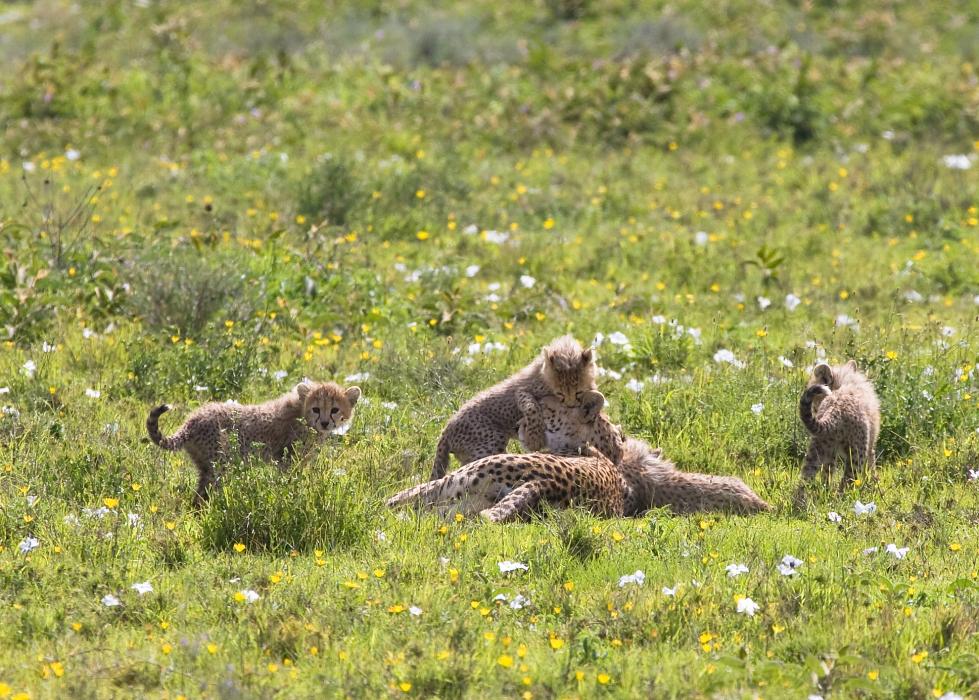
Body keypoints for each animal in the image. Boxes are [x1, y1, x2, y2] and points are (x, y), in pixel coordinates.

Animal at [145, 380, 360, 506]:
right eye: (316, 409)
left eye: (334, 410)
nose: (324, 423)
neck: (302, 414)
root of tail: (191, 420)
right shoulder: (286, 460)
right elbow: (291, 483)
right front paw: (293, 497)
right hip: (220, 464)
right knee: (207, 491)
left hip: (206, 465)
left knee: (200, 493)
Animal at [430, 334, 596, 482]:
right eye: (560, 394)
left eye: (578, 393)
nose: (570, 405)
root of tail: (446, 428)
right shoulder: (523, 392)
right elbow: (531, 407)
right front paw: (535, 439)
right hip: (491, 441)